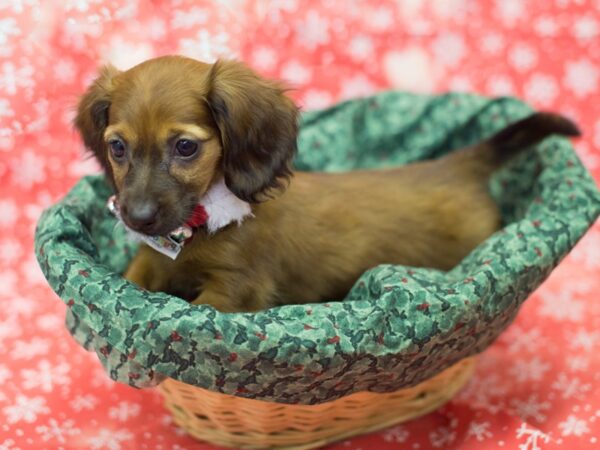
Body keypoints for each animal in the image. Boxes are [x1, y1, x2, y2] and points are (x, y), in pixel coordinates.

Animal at [72, 54, 580, 312]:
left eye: (184, 147)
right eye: (117, 147)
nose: (136, 219)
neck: (203, 225)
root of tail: (457, 164)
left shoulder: (234, 290)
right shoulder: (151, 262)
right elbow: (135, 277)